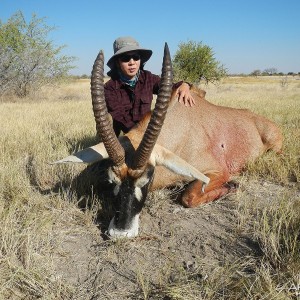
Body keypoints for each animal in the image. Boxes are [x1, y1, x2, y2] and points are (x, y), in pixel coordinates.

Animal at [52, 43, 282, 238]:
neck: (178, 133)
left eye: (147, 179)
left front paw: (232, 186)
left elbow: (188, 196)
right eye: (112, 180)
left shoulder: (218, 171)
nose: (120, 232)